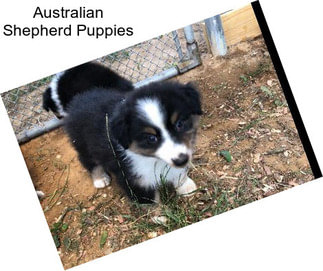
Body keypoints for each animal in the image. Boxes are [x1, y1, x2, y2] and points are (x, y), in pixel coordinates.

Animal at [64, 82, 202, 205]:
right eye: (151, 138)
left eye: (180, 124)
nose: (181, 160)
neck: (151, 158)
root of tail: (80, 98)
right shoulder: (133, 179)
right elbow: (149, 201)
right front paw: (160, 216)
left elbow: (178, 173)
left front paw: (186, 187)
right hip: (82, 143)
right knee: (88, 160)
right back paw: (100, 178)